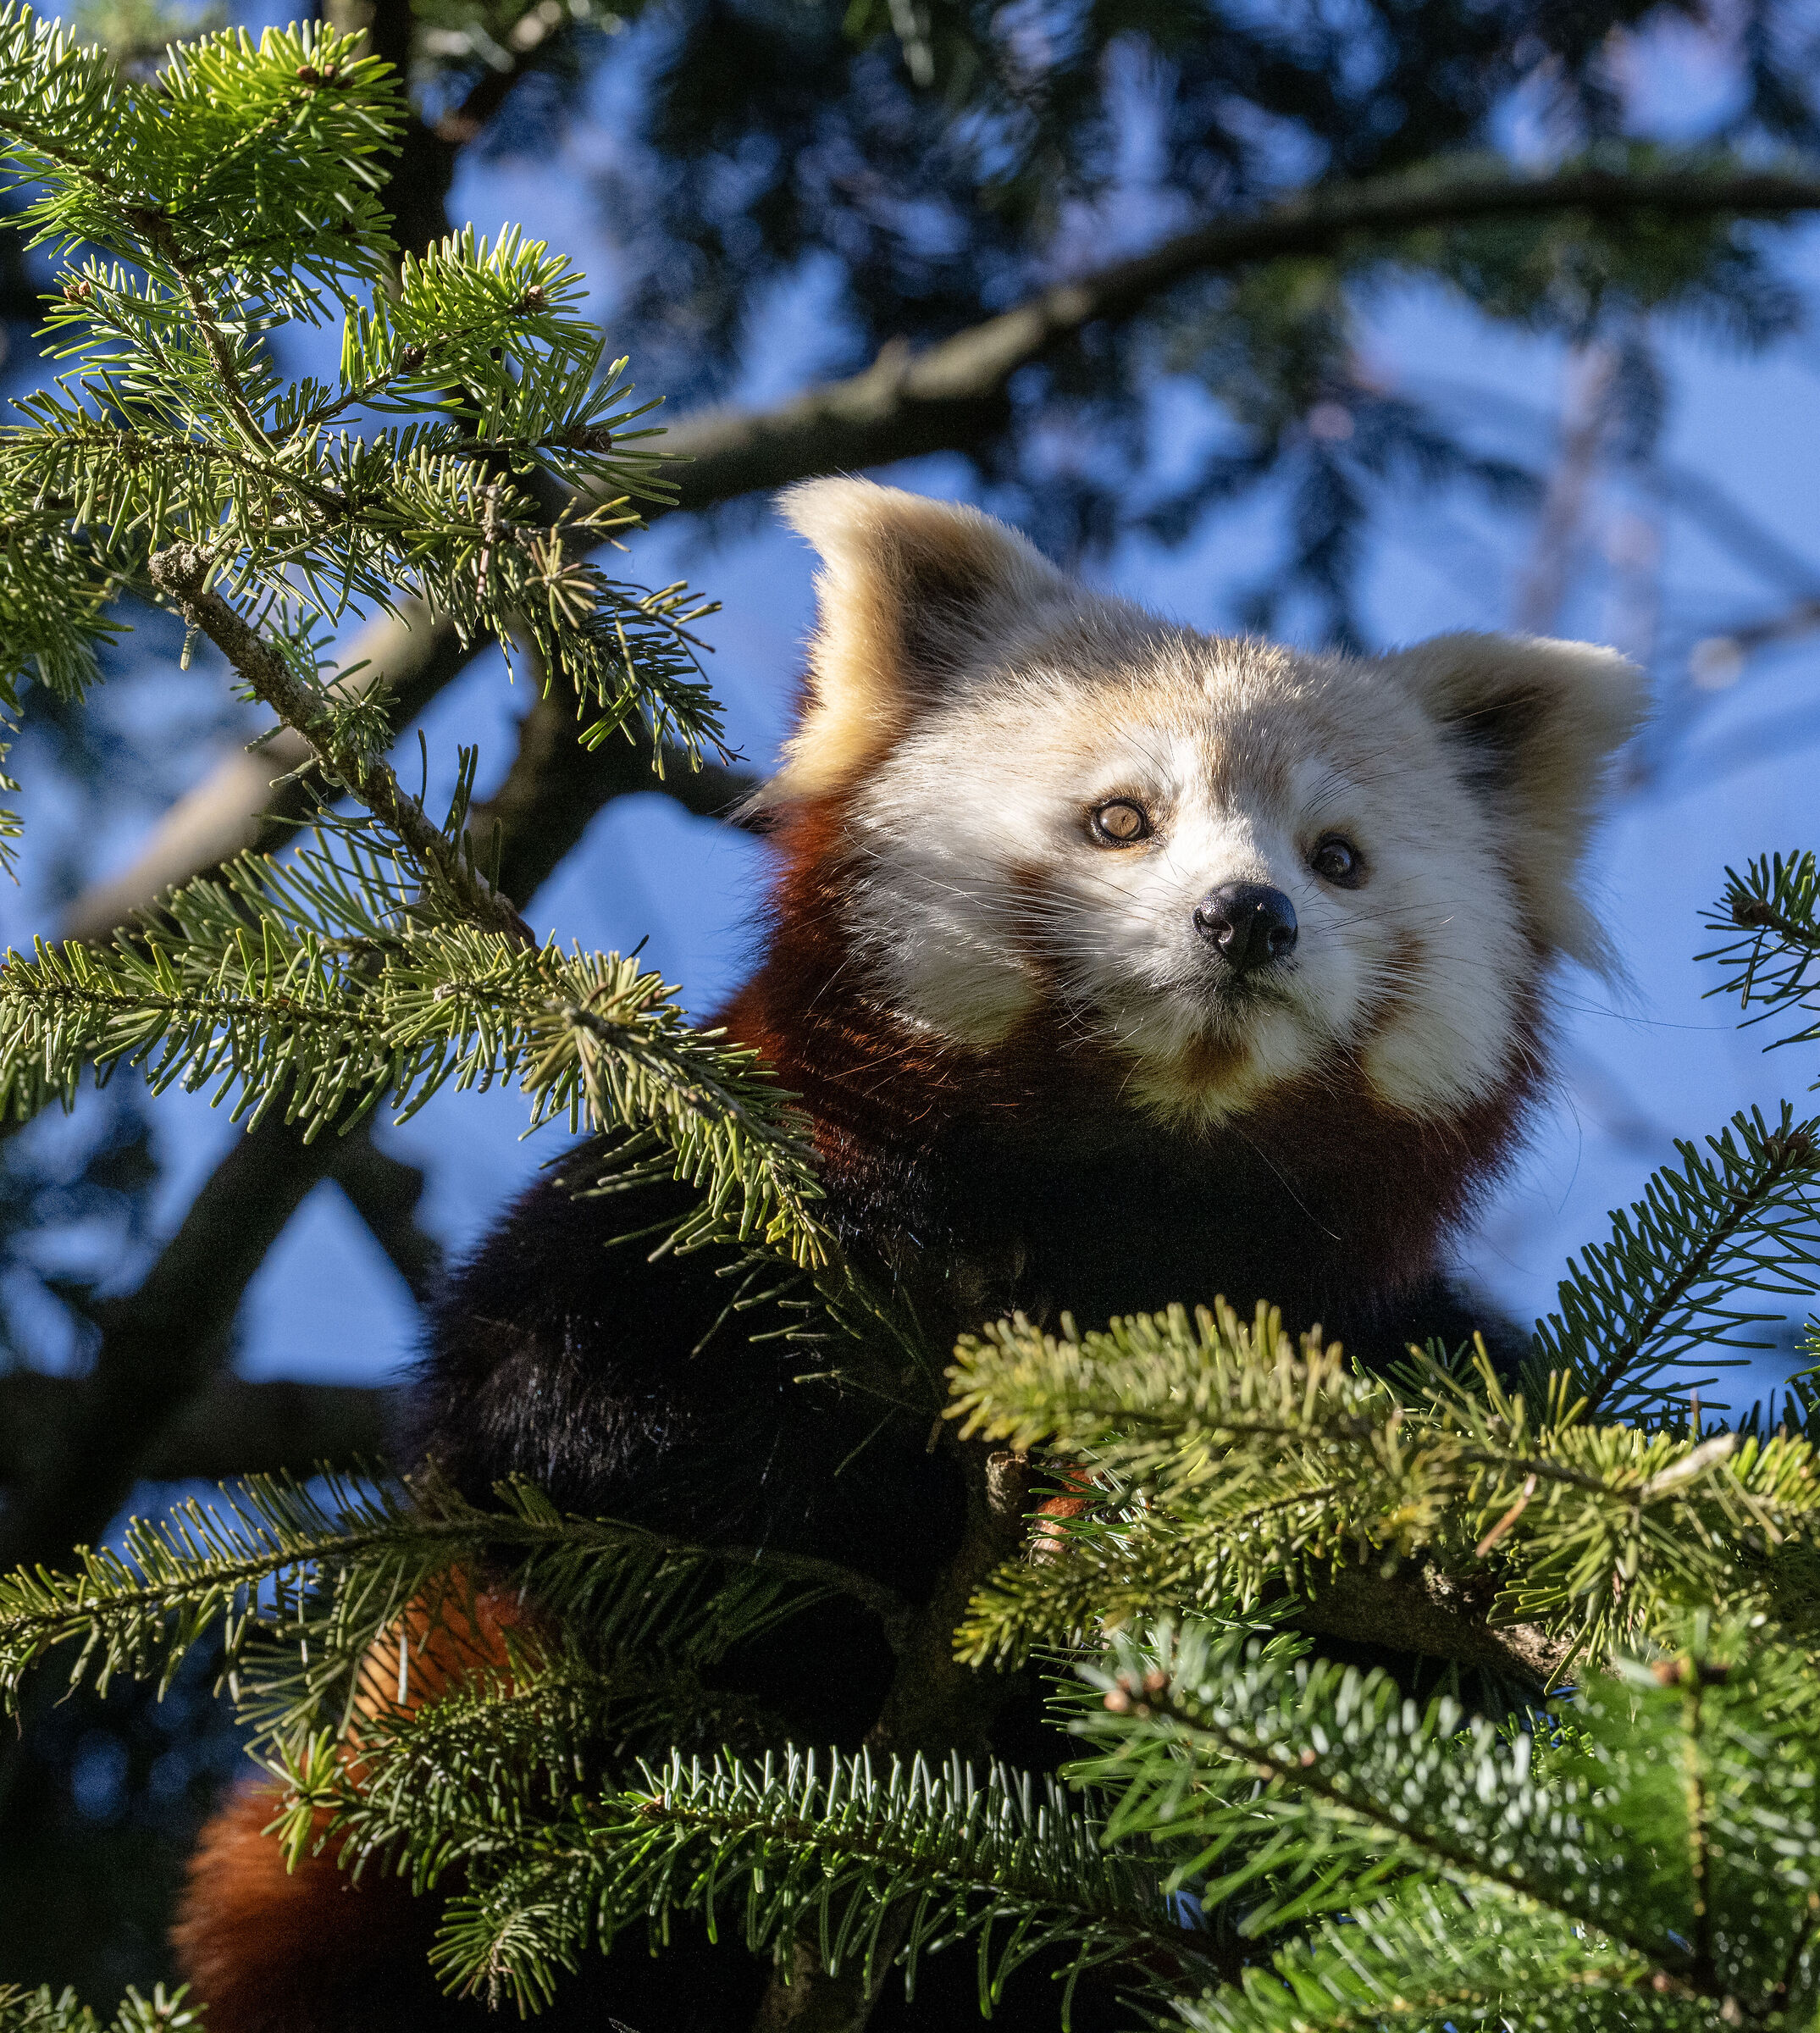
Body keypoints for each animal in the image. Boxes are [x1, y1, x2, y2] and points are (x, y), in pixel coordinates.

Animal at [172, 478, 1643, 2032]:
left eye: (1337, 856)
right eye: (1121, 819)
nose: (1246, 917)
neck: (1122, 1200)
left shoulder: (1338, 1316)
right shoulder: (702, 1189)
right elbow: (557, 1434)